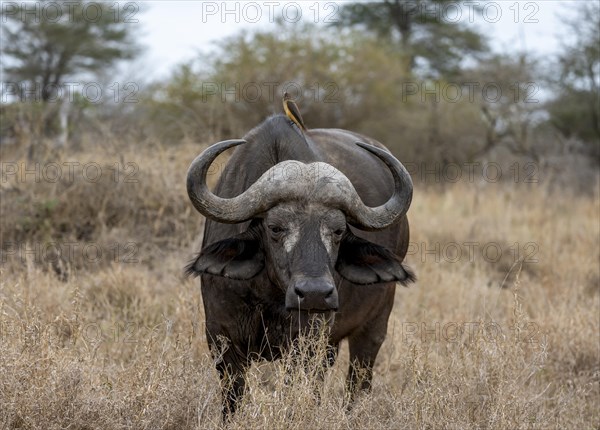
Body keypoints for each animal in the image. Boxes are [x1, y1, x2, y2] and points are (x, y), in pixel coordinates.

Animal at [185, 113, 414, 416]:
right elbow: (233, 397)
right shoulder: (221, 336)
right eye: (275, 228)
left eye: (338, 230)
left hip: (374, 324)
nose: (314, 294)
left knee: (358, 379)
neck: (269, 295)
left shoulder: (307, 342)